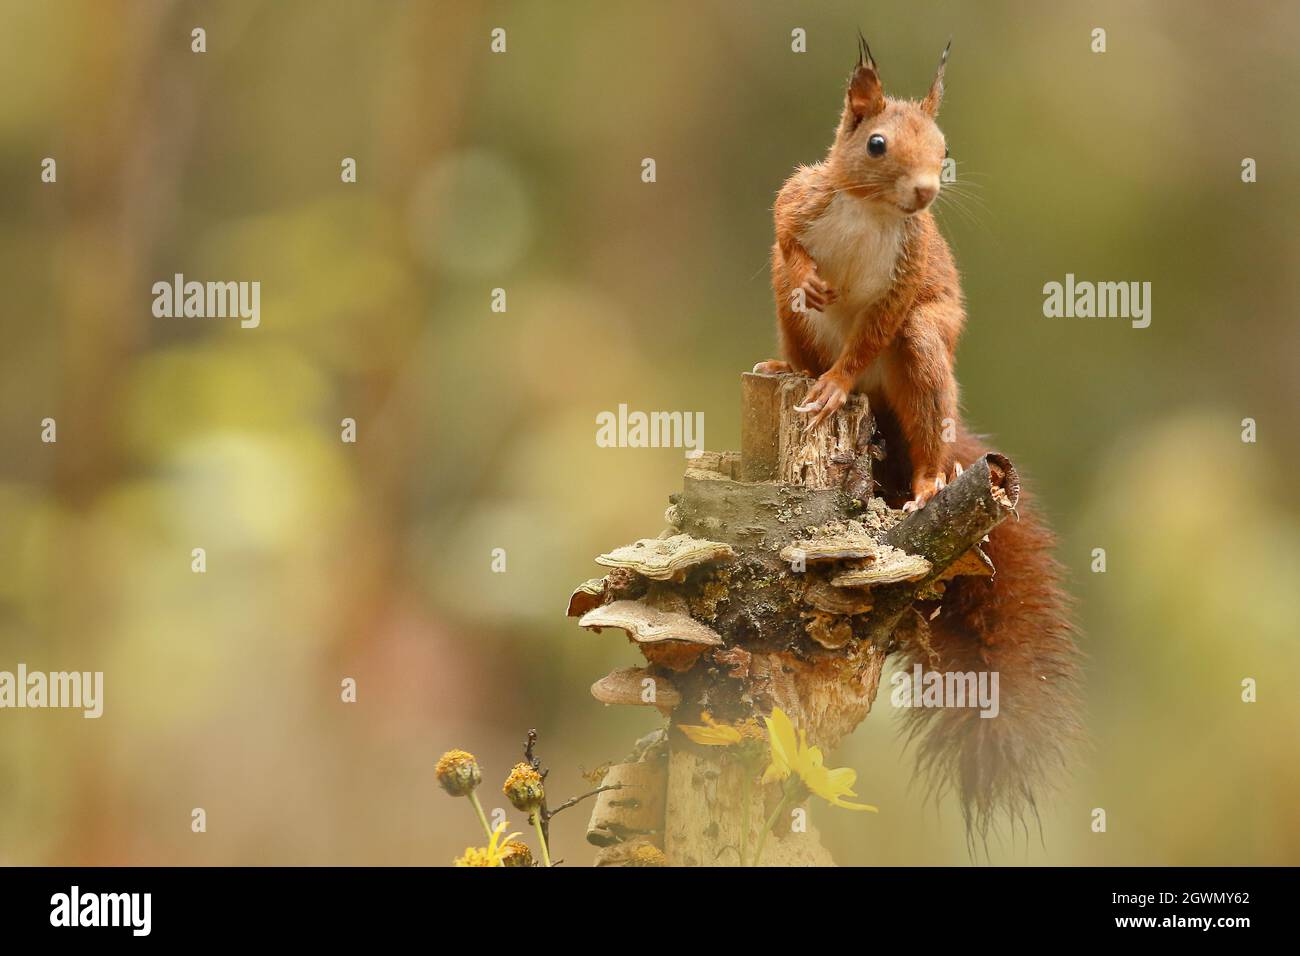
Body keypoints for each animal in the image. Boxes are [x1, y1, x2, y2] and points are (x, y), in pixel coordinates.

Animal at [759, 41, 1081, 842]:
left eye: (944, 148)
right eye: (876, 144)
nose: (927, 192)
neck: (872, 209)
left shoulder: (904, 279)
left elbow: (871, 330)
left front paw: (834, 388)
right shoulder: (803, 196)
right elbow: (784, 228)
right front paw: (815, 285)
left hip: (924, 352)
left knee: (919, 399)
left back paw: (930, 478)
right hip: (786, 310)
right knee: (793, 314)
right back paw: (787, 367)